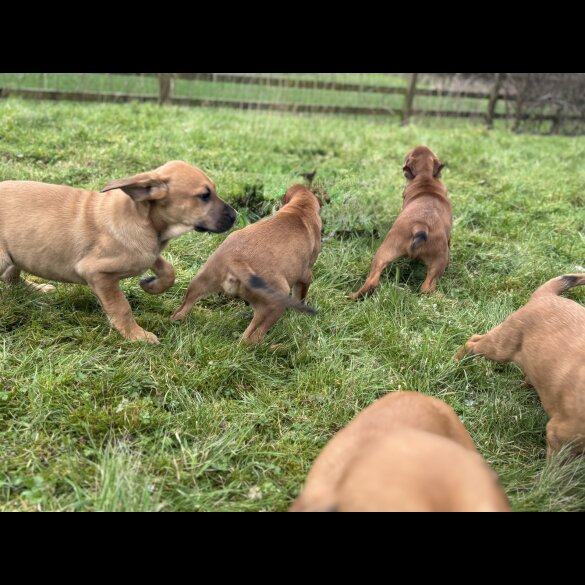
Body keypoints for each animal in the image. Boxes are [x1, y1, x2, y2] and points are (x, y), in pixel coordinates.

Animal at [1, 160, 237, 342]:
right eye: (204, 195)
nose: (235, 215)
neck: (142, 218)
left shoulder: (148, 252)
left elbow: (168, 270)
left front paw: (152, 285)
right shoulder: (97, 273)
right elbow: (121, 306)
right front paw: (136, 335)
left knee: (12, 278)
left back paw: (36, 288)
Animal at [346, 146, 452, 296]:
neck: (426, 179)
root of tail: (420, 225)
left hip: (385, 252)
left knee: (372, 280)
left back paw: (352, 296)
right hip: (438, 260)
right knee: (427, 287)